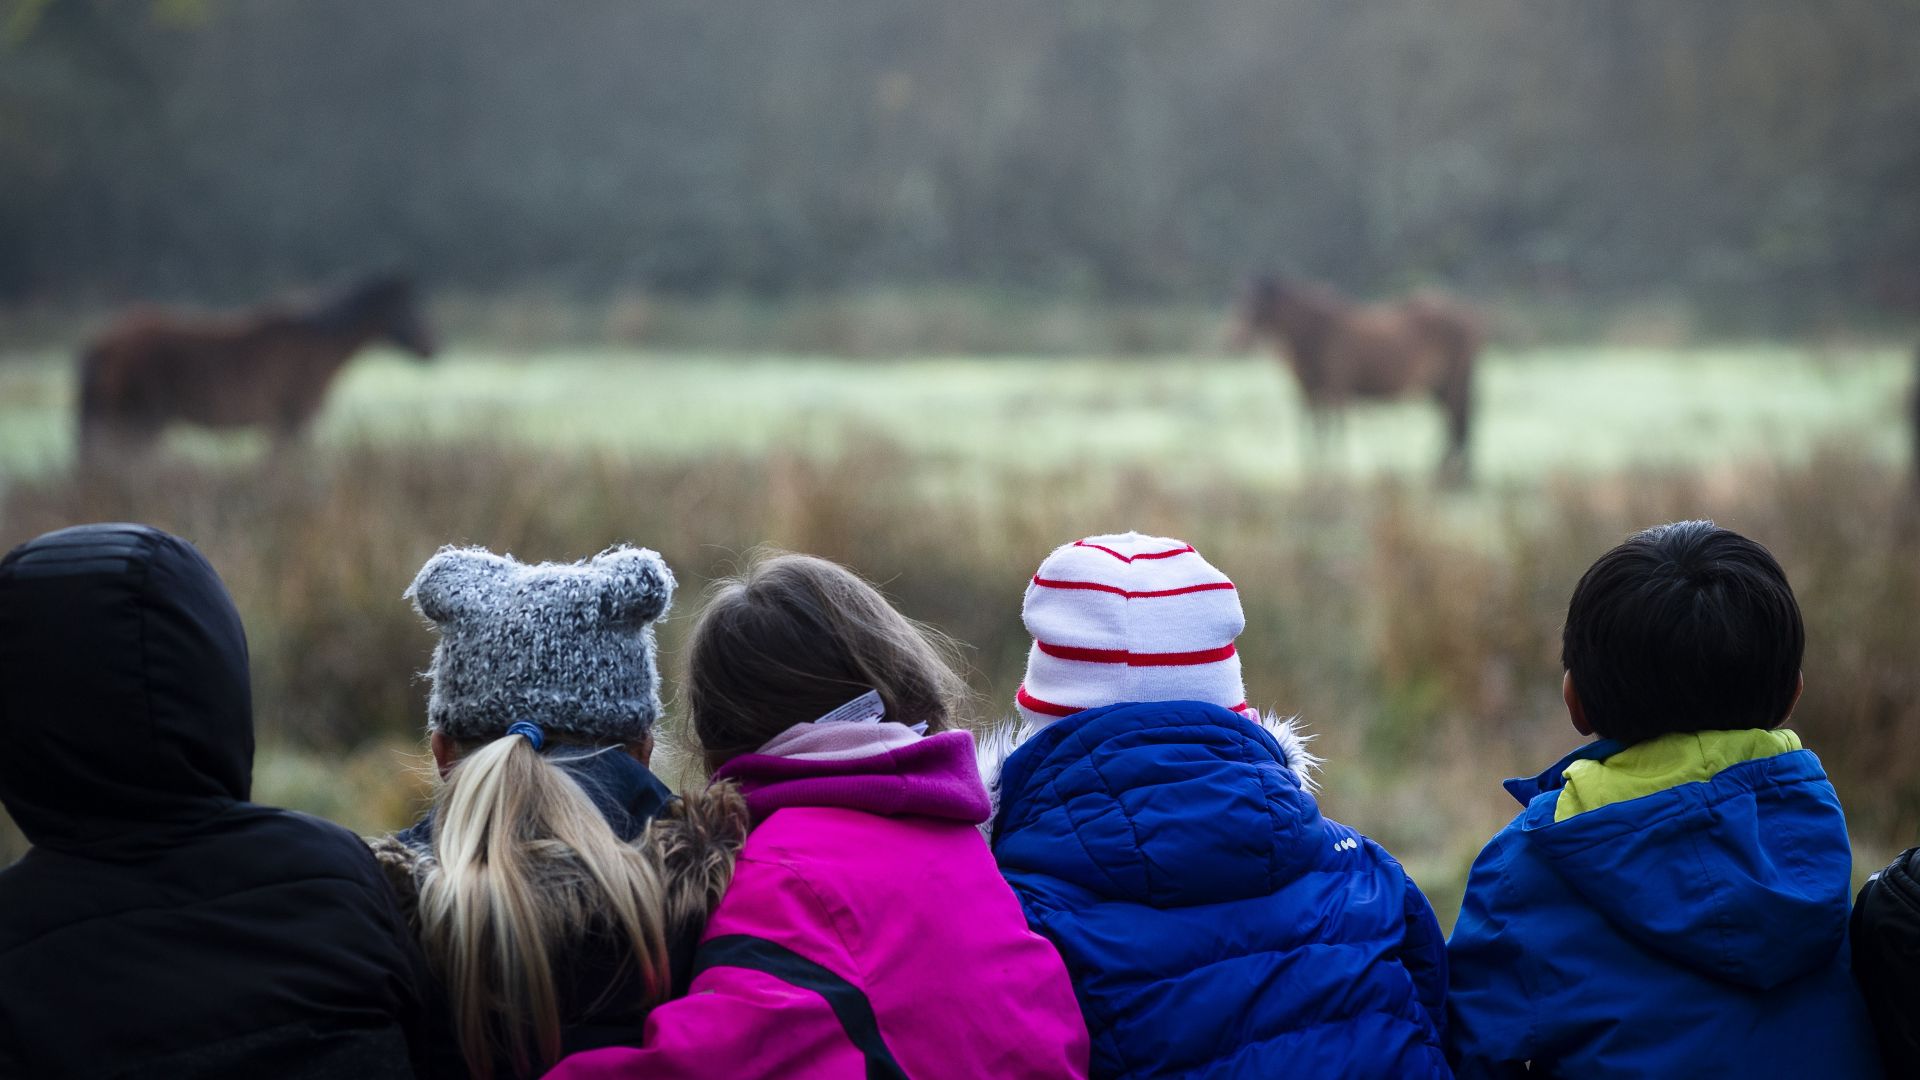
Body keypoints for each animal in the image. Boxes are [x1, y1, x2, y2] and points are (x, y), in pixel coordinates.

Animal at [77, 274, 436, 460]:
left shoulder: (283, 427)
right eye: (408, 307)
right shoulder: (291, 423)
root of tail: (103, 340)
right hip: (143, 422)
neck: (315, 344)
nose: (430, 347)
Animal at [1233, 274, 1482, 483]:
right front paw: (1313, 465)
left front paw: (1336, 467)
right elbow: (1312, 427)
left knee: (1455, 420)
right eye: (1244, 301)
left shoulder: (1336, 389)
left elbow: (1334, 427)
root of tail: (1466, 317)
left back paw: (1446, 470)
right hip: (1438, 388)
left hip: (1452, 385)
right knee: (1454, 423)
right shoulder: (1309, 392)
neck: (1318, 334)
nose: (1237, 338)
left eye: (1256, 304)